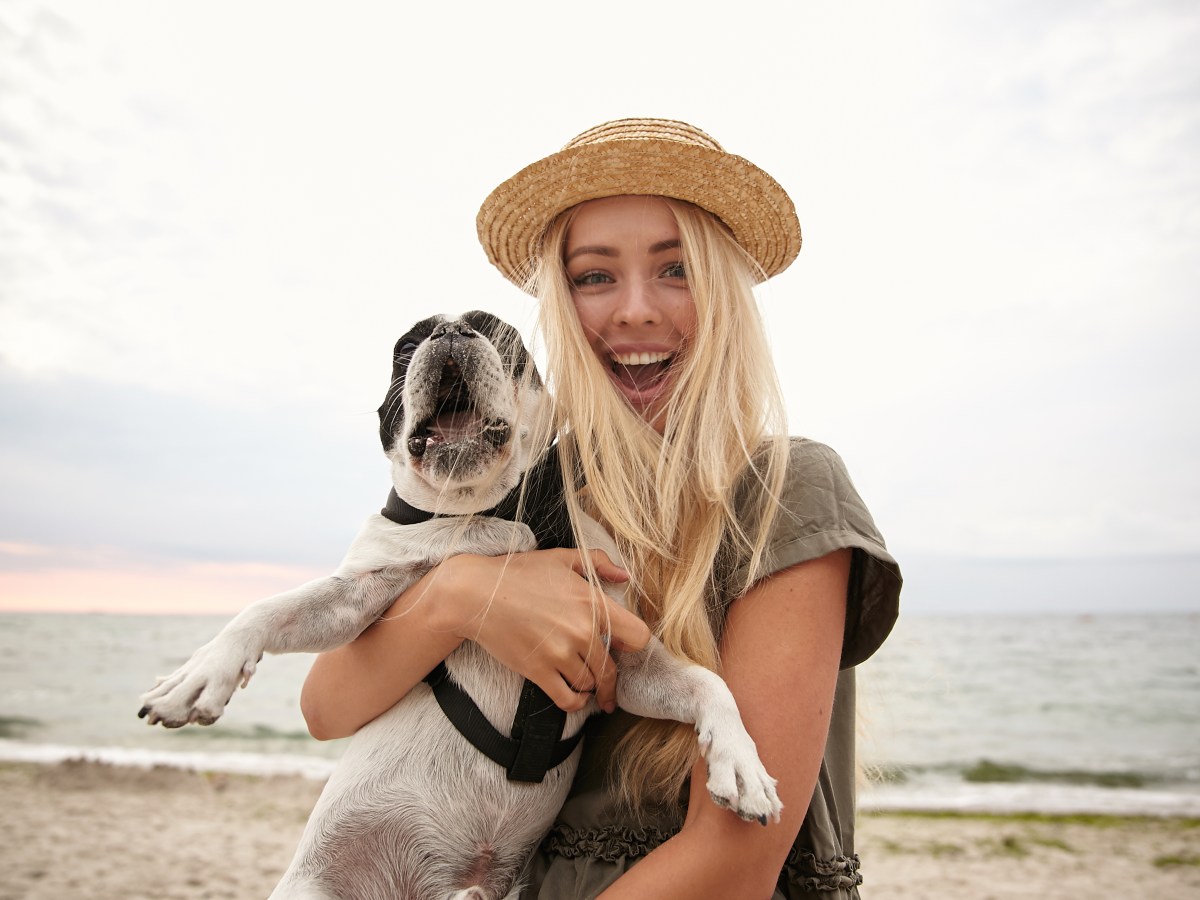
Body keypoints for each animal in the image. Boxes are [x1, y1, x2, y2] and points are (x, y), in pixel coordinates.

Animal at [138, 312, 787, 900]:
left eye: (505, 339)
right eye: (405, 347)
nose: (450, 332)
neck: (484, 515)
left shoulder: (623, 661)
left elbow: (707, 684)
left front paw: (741, 765)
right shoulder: (357, 595)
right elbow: (268, 610)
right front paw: (197, 677)